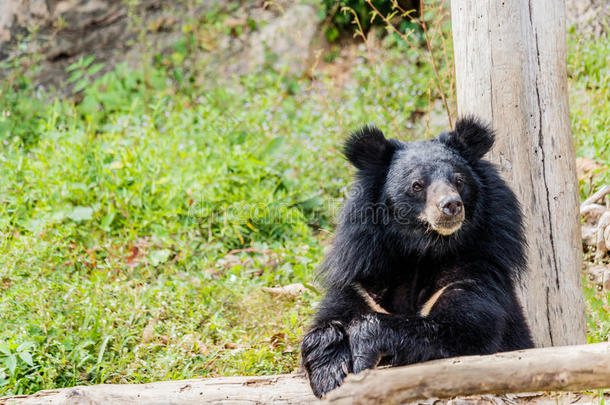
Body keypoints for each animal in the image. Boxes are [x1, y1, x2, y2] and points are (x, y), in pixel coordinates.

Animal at [300, 117, 532, 398]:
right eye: (417, 185)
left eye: (459, 180)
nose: (451, 205)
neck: (422, 251)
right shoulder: (361, 277)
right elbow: (324, 324)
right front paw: (329, 374)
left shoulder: (474, 271)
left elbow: (463, 331)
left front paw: (363, 348)